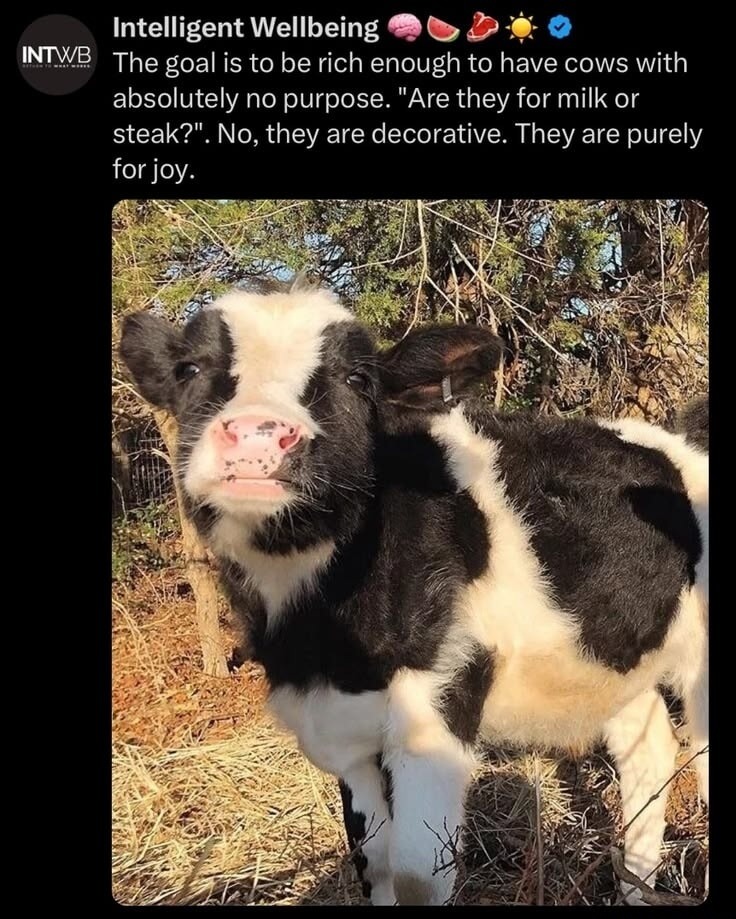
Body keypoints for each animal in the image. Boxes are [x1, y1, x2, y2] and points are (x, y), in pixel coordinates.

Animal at [120, 278, 708, 906]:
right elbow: (373, 863)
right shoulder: (343, 730)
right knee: (647, 751)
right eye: (188, 368)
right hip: (613, 663)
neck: (319, 641)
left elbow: (416, 873)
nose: (257, 434)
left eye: (358, 378)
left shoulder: (437, 703)